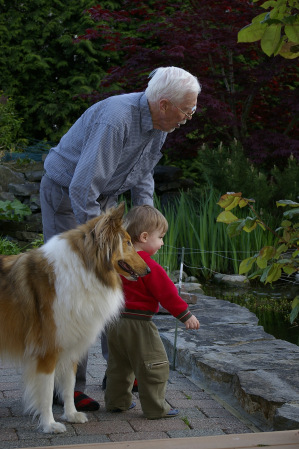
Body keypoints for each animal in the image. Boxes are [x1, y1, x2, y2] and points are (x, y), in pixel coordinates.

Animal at [0, 202, 150, 430]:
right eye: (128, 243)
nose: (149, 270)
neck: (86, 269)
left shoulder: (72, 343)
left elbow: (69, 385)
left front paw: (71, 415)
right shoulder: (48, 348)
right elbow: (46, 389)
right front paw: (49, 424)